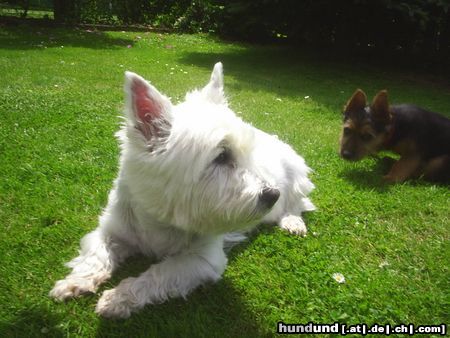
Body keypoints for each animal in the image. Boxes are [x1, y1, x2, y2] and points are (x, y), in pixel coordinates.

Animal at [49, 62, 314, 318]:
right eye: (221, 156)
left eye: (248, 154)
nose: (272, 195)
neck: (162, 218)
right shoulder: (110, 231)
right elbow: (96, 255)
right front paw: (74, 282)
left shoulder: (204, 259)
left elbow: (161, 272)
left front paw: (118, 298)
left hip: (297, 174)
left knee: (296, 203)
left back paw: (293, 222)